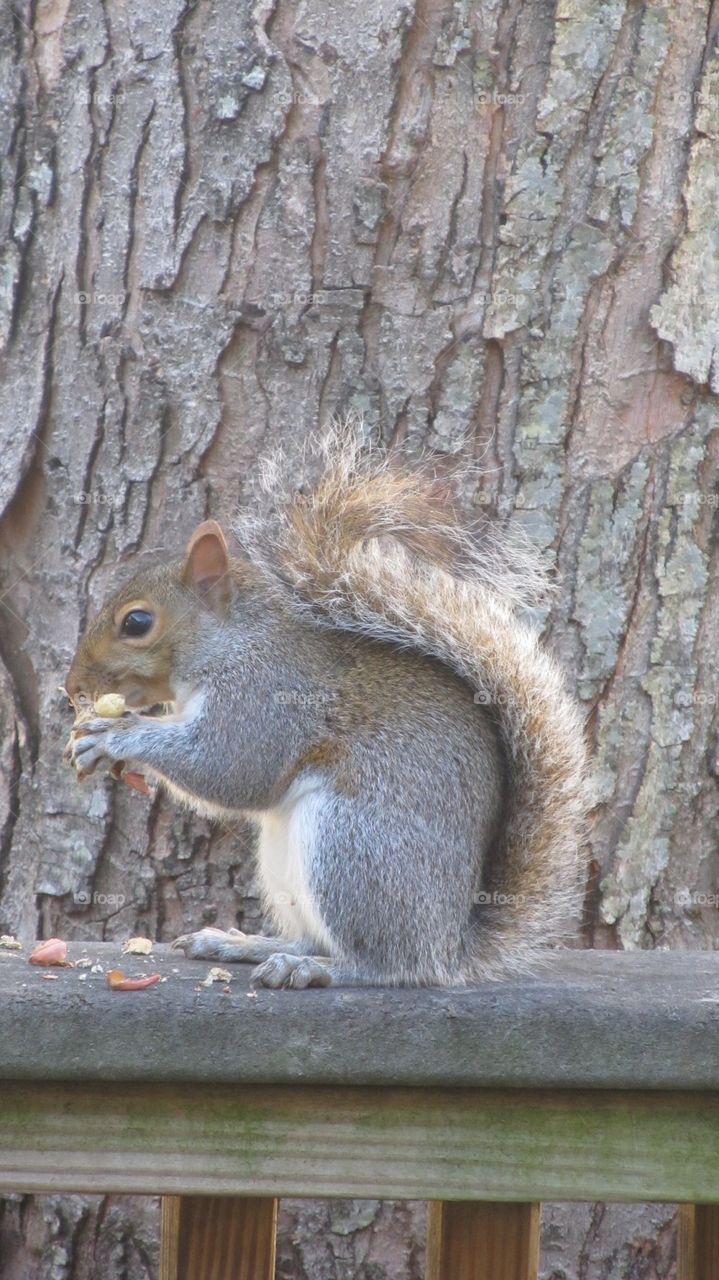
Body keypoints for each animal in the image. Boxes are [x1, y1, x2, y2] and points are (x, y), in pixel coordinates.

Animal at [64, 430, 585, 988]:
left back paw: (316, 968)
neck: (231, 643)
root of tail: (450, 947)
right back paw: (244, 944)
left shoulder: (267, 695)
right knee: (314, 935)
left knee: (388, 965)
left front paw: (117, 736)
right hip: (286, 862)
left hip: (352, 846)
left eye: (137, 622)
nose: (73, 688)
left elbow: (230, 769)